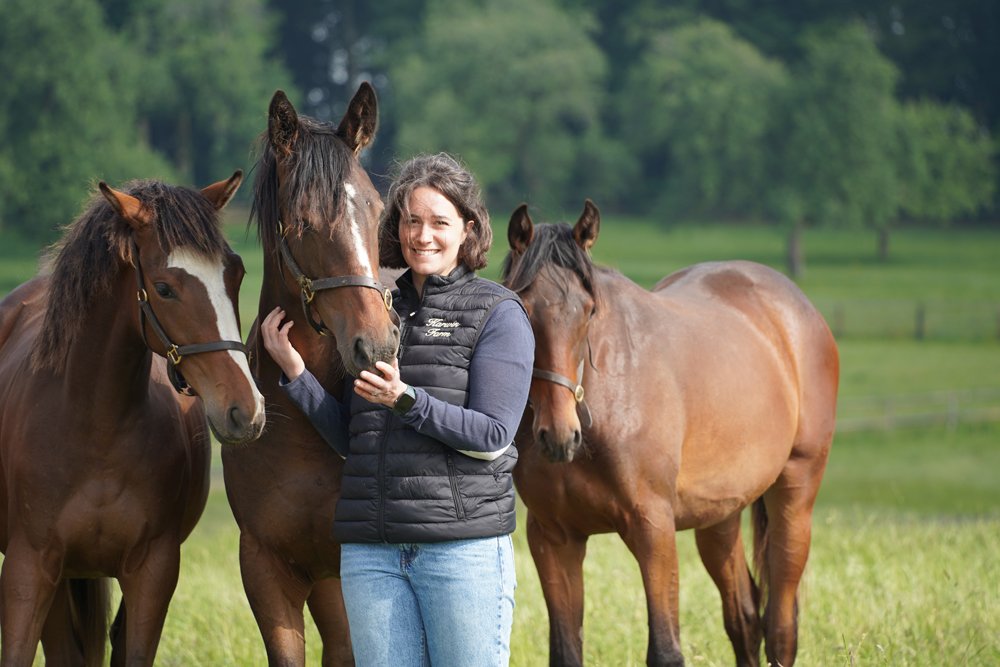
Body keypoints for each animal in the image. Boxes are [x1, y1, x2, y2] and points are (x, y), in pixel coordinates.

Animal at [0, 173, 266, 666]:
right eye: (163, 288)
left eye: (235, 273)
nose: (247, 409)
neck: (95, 427)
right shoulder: (29, 568)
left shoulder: (152, 571)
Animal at [502, 201, 839, 667]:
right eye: (523, 306)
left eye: (589, 311)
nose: (559, 435)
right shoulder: (554, 539)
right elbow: (566, 652)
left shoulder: (653, 529)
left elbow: (664, 650)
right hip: (720, 516)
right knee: (744, 619)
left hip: (795, 495)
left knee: (781, 628)